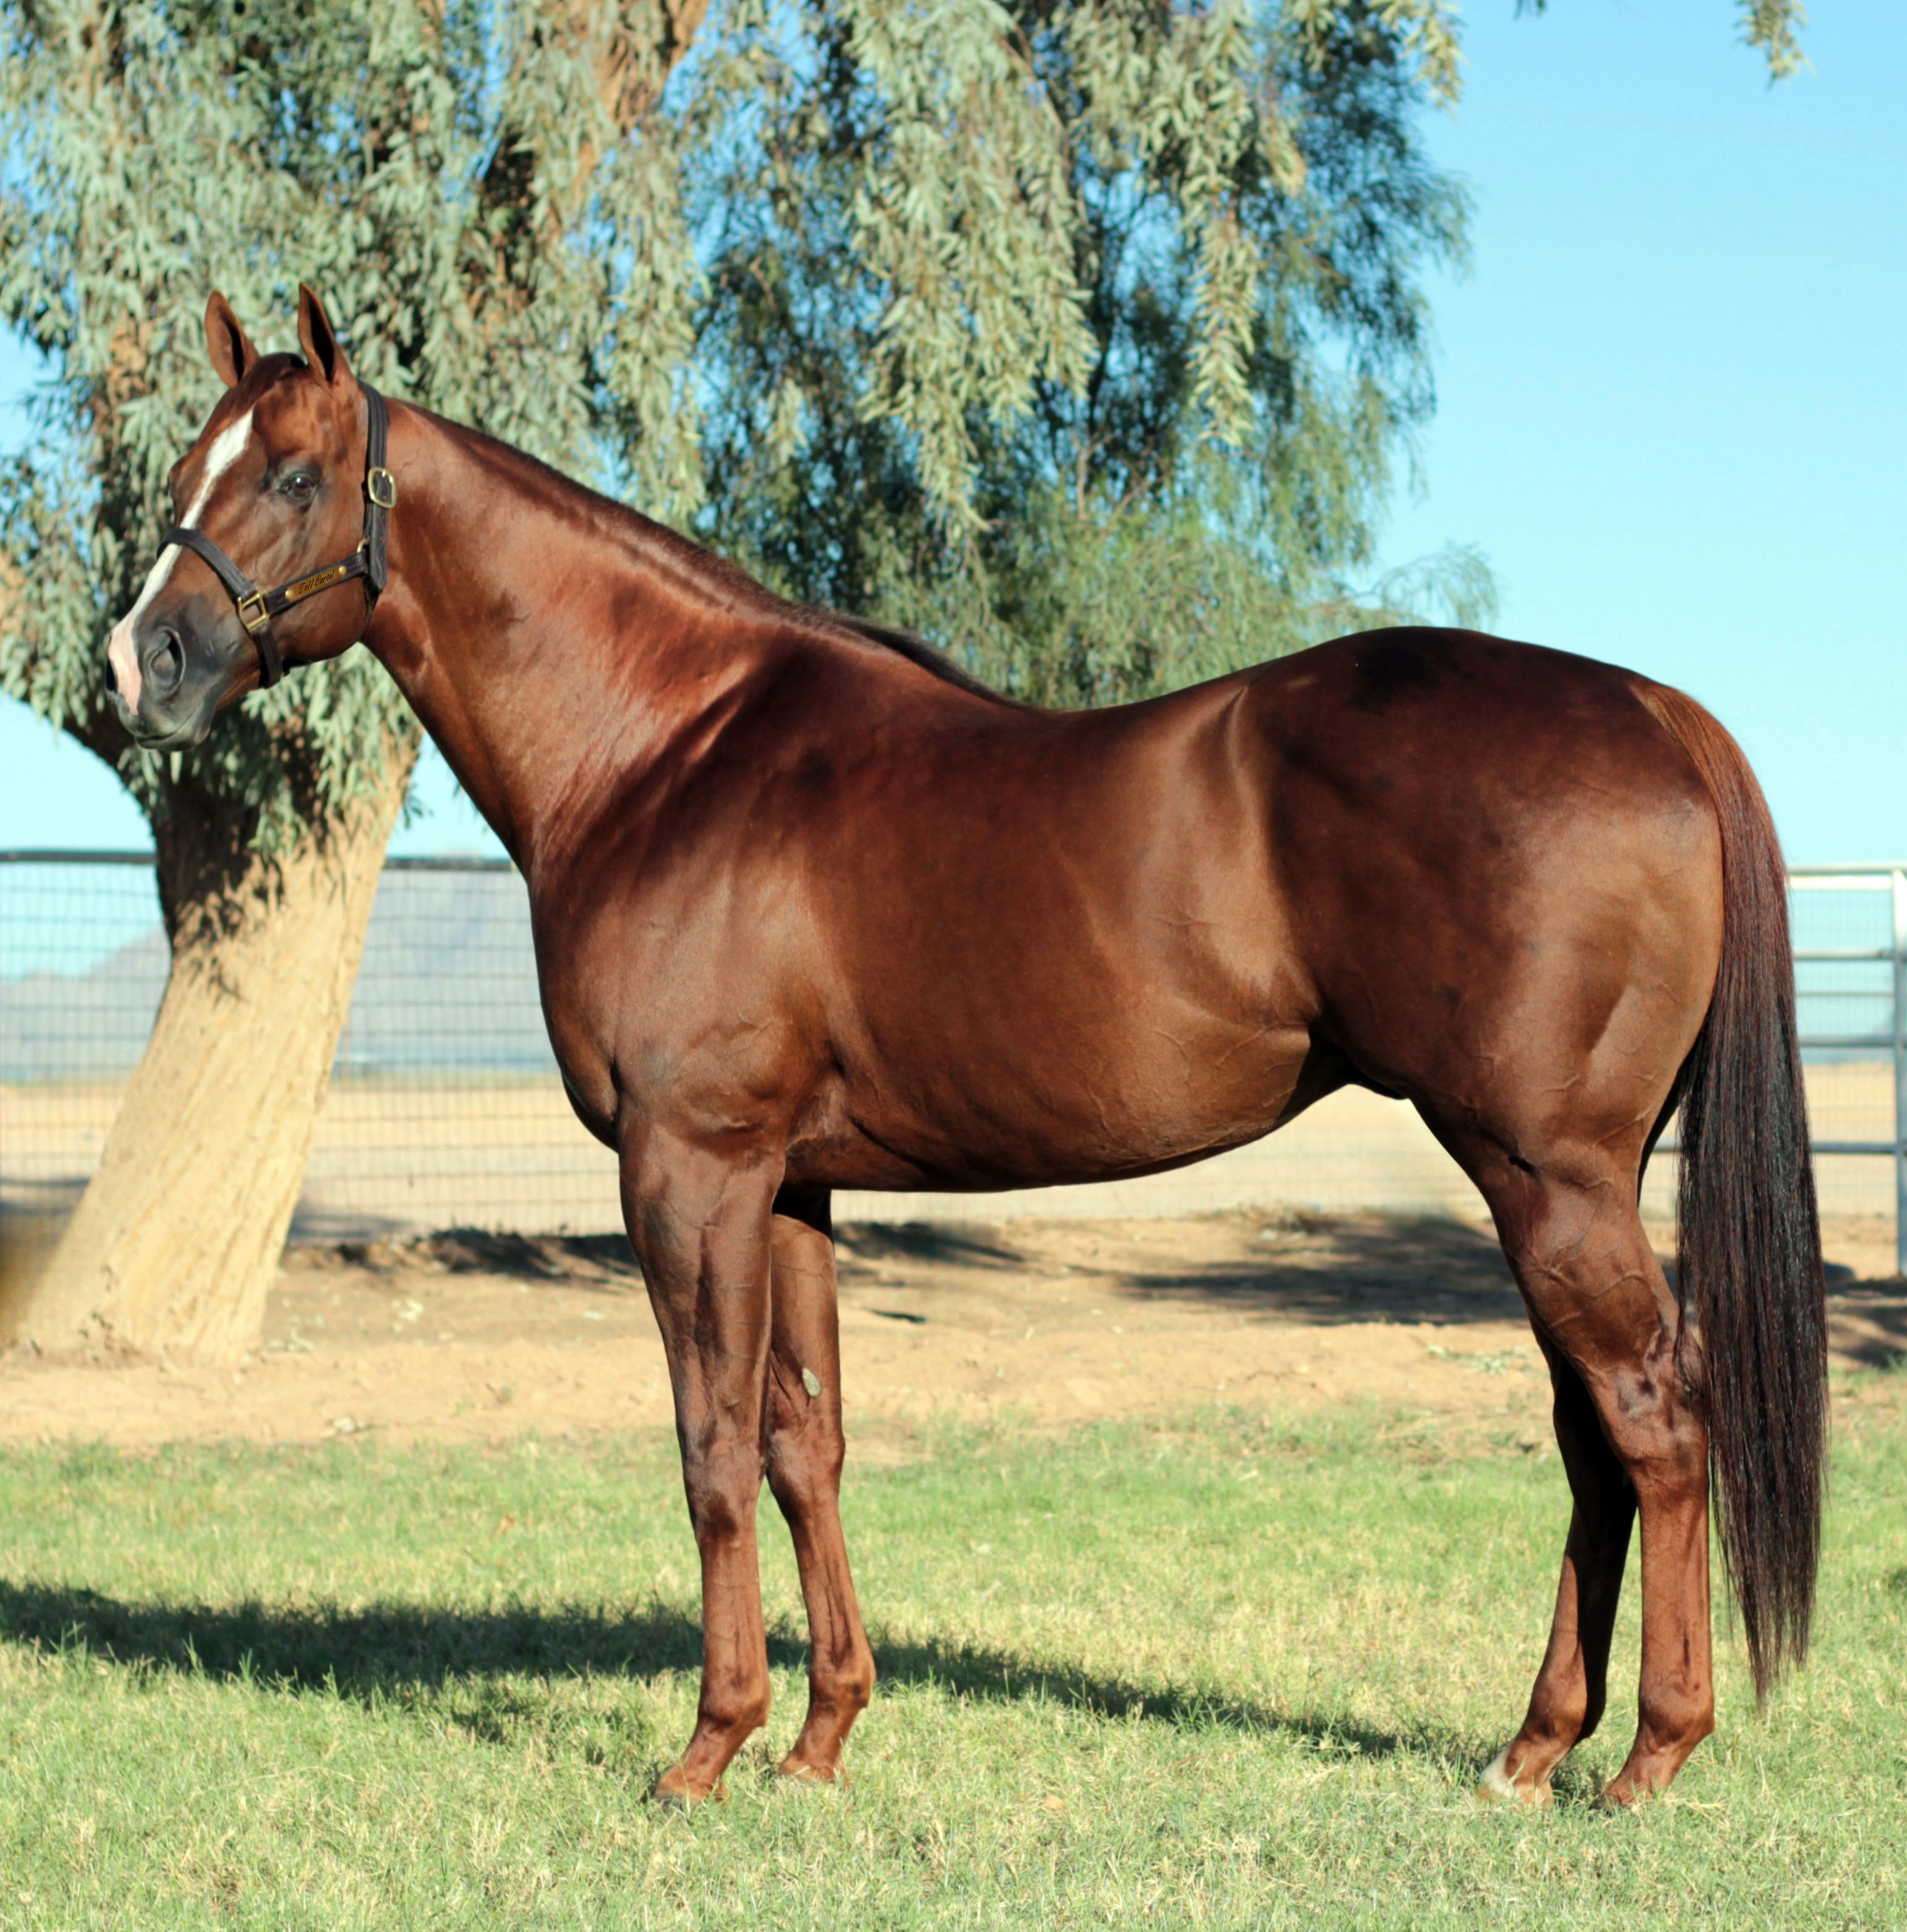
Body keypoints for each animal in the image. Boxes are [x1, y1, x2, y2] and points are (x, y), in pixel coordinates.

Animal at [104, 286, 1826, 1809]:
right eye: (190, 464)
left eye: (294, 475)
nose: (141, 666)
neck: (666, 748)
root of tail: (1658, 714)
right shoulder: (790, 1186)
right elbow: (805, 1440)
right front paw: (817, 1739)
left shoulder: (687, 1171)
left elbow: (710, 1448)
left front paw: (706, 1750)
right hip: (1550, 1179)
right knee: (1592, 1442)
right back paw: (1531, 1751)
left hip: (1546, 1174)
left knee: (1653, 1424)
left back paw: (1647, 1758)